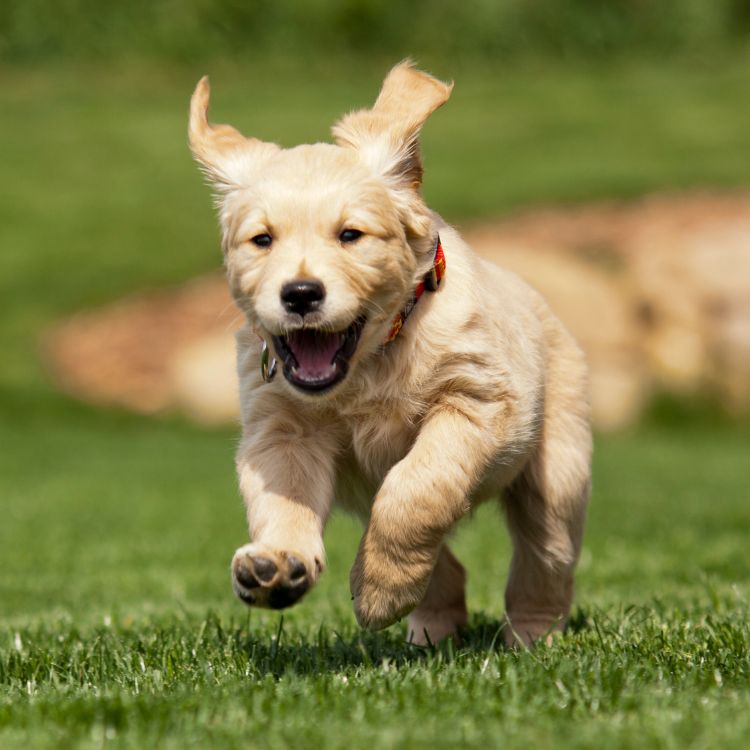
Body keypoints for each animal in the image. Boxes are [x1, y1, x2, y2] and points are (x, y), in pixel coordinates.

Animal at [188, 61, 592, 648]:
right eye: (262, 240)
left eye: (350, 235)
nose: (300, 294)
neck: (371, 361)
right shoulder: (282, 431)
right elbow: (285, 500)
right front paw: (278, 564)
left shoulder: (477, 402)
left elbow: (416, 489)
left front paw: (379, 593)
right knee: (447, 565)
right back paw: (431, 627)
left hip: (557, 470)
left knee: (546, 557)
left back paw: (530, 637)